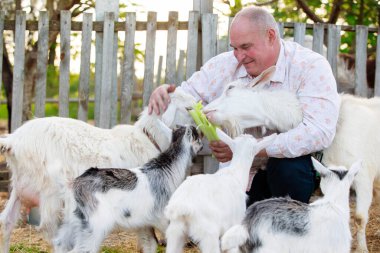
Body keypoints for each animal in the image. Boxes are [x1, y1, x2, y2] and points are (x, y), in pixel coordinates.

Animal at [53, 125, 203, 252]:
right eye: (197, 136)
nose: (202, 145)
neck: (168, 168)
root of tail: (73, 184)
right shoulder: (165, 219)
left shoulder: (144, 224)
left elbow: (150, 244)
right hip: (94, 225)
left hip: (72, 221)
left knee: (60, 243)